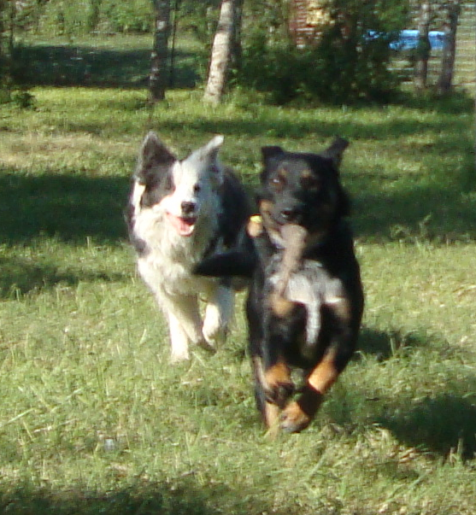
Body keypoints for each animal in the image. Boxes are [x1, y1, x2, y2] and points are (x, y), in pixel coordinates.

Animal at [195, 139, 362, 434]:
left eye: (313, 182)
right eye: (276, 181)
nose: (289, 211)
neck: (305, 261)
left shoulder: (345, 329)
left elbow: (324, 375)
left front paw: (298, 415)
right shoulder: (272, 319)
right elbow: (273, 359)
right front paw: (278, 384)